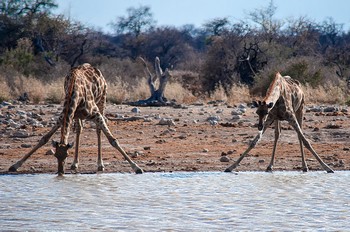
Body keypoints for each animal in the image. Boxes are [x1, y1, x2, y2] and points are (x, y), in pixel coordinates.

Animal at [9, 63, 144, 174]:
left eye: (66, 155)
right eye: (56, 156)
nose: (60, 172)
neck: (74, 91)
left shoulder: (96, 113)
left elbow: (113, 140)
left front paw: (136, 167)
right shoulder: (63, 116)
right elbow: (44, 139)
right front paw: (15, 165)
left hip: (102, 100)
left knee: (98, 130)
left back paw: (100, 165)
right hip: (78, 115)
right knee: (79, 130)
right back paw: (75, 164)